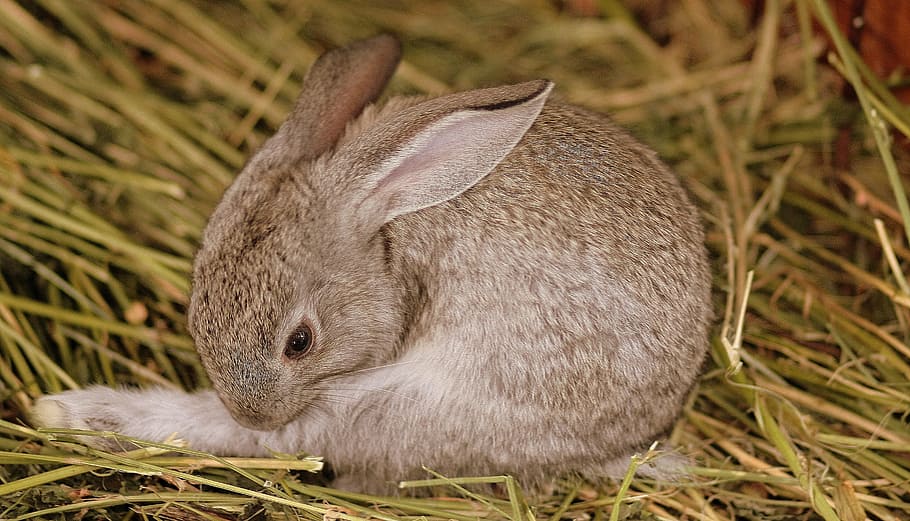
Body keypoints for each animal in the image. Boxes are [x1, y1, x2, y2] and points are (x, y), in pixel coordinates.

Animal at [31, 34, 712, 494]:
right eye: (196, 309)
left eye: (300, 342)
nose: (251, 407)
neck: (390, 236)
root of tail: (626, 440)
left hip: (406, 408)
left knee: (295, 442)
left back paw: (77, 412)